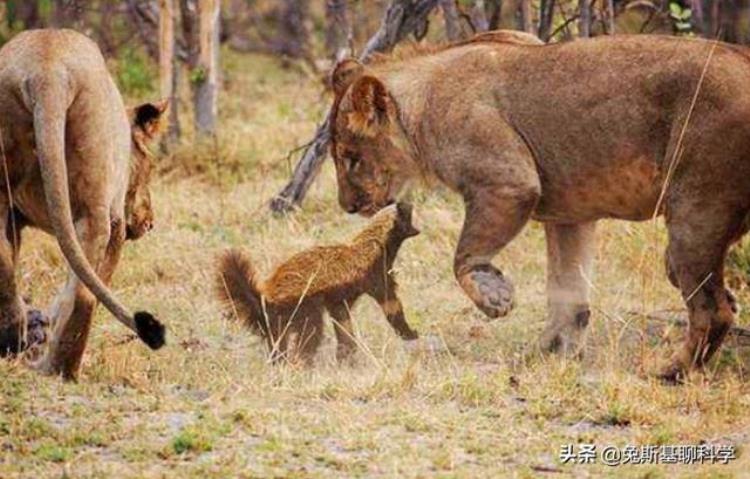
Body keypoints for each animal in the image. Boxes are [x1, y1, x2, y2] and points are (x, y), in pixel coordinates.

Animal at [0, 30, 167, 380]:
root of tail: (47, 71)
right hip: (95, 207)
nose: (150, 222)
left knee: (4, 262)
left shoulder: (14, 217)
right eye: (150, 167)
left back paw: (14, 342)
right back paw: (60, 369)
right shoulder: (117, 222)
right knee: (83, 294)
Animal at [217, 202, 420, 364]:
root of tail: (264, 299)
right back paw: (302, 363)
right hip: (303, 307)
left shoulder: (339, 299)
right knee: (310, 334)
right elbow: (391, 305)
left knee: (278, 342)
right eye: (406, 212)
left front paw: (346, 356)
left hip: (280, 321)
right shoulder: (375, 275)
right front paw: (410, 333)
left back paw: (280, 363)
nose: (410, 202)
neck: (374, 244)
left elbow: (343, 324)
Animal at [330, 31, 750, 382]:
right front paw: (547, 353)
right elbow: (567, 293)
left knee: (713, 308)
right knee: (713, 297)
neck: (420, 105)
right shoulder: (570, 215)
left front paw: (494, 297)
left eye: (350, 158)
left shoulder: (509, 182)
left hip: (696, 212)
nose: (347, 206)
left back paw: (669, 371)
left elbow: (463, 256)